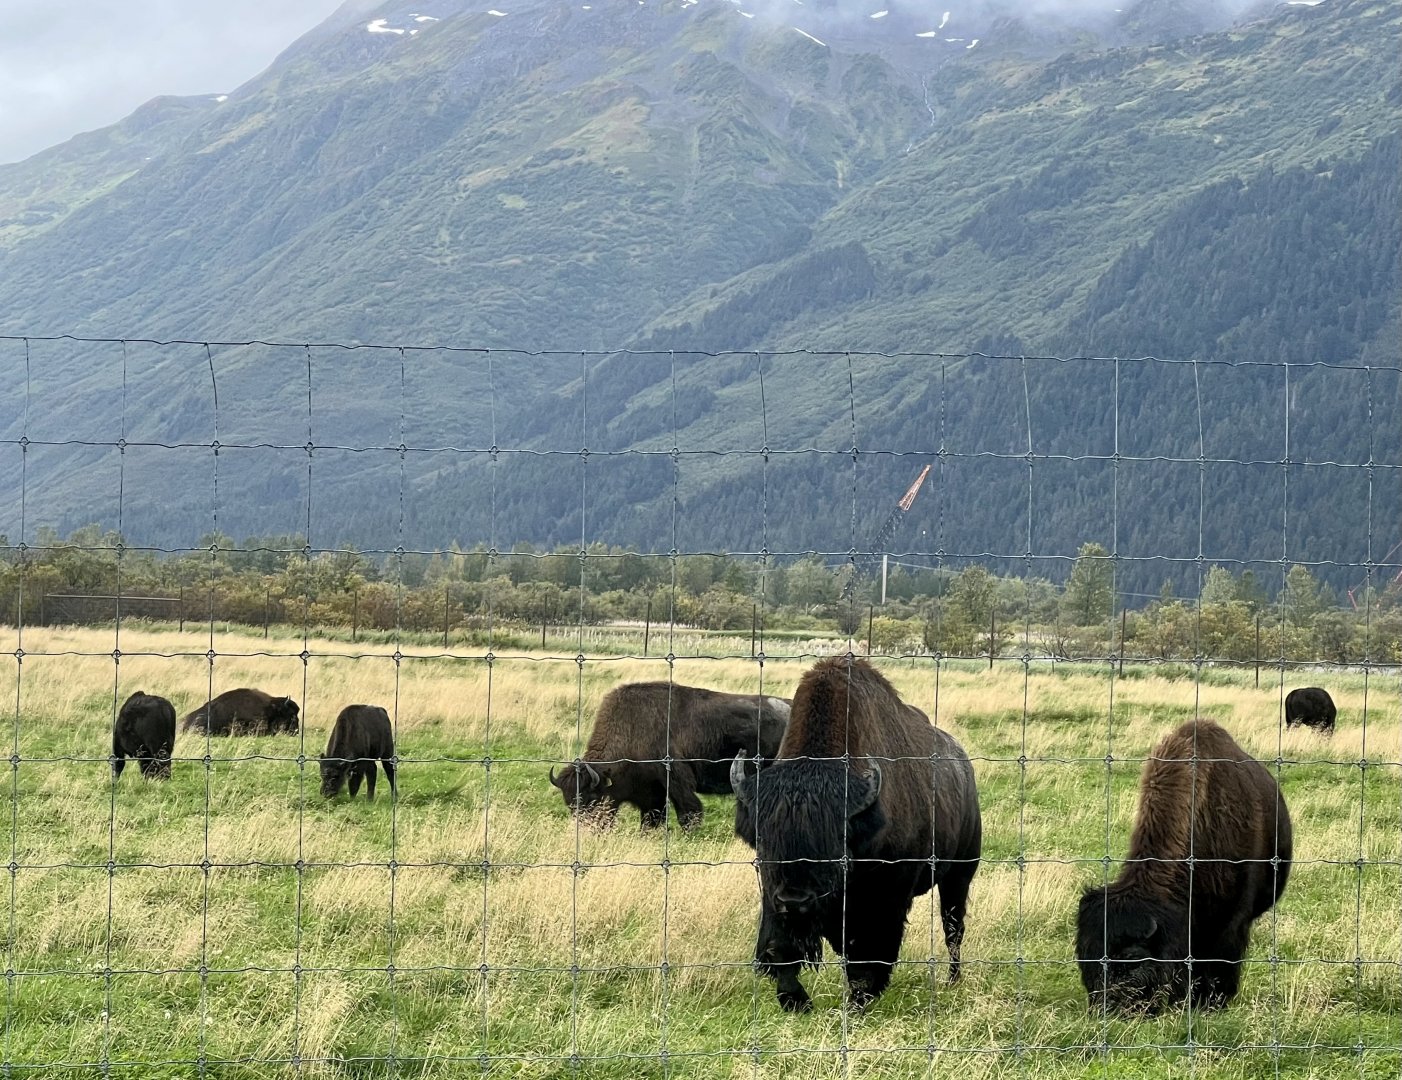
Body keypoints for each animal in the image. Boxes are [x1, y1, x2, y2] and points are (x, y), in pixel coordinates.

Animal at [549, 682, 790, 829]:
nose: (587, 830)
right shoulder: (651, 792)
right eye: (569, 804)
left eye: (592, 799)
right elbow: (652, 818)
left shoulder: (676, 781)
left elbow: (688, 812)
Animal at [732, 656, 981, 1012]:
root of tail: (964, 765)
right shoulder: (773, 897)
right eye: (765, 842)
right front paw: (795, 999)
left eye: (836, 844)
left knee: (953, 928)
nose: (795, 900)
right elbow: (781, 948)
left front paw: (858, 1001)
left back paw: (953, 979)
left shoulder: (884, 897)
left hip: (960, 874)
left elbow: (868, 956)